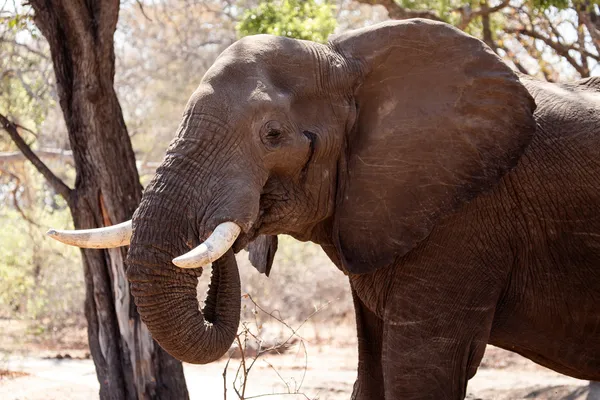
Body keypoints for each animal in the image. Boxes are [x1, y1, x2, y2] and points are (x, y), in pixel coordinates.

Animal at [48, 18, 600, 400]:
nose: (240, 223)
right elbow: (372, 374)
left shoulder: (465, 220)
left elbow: (419, 373)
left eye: (272, 135)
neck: (348, 63)